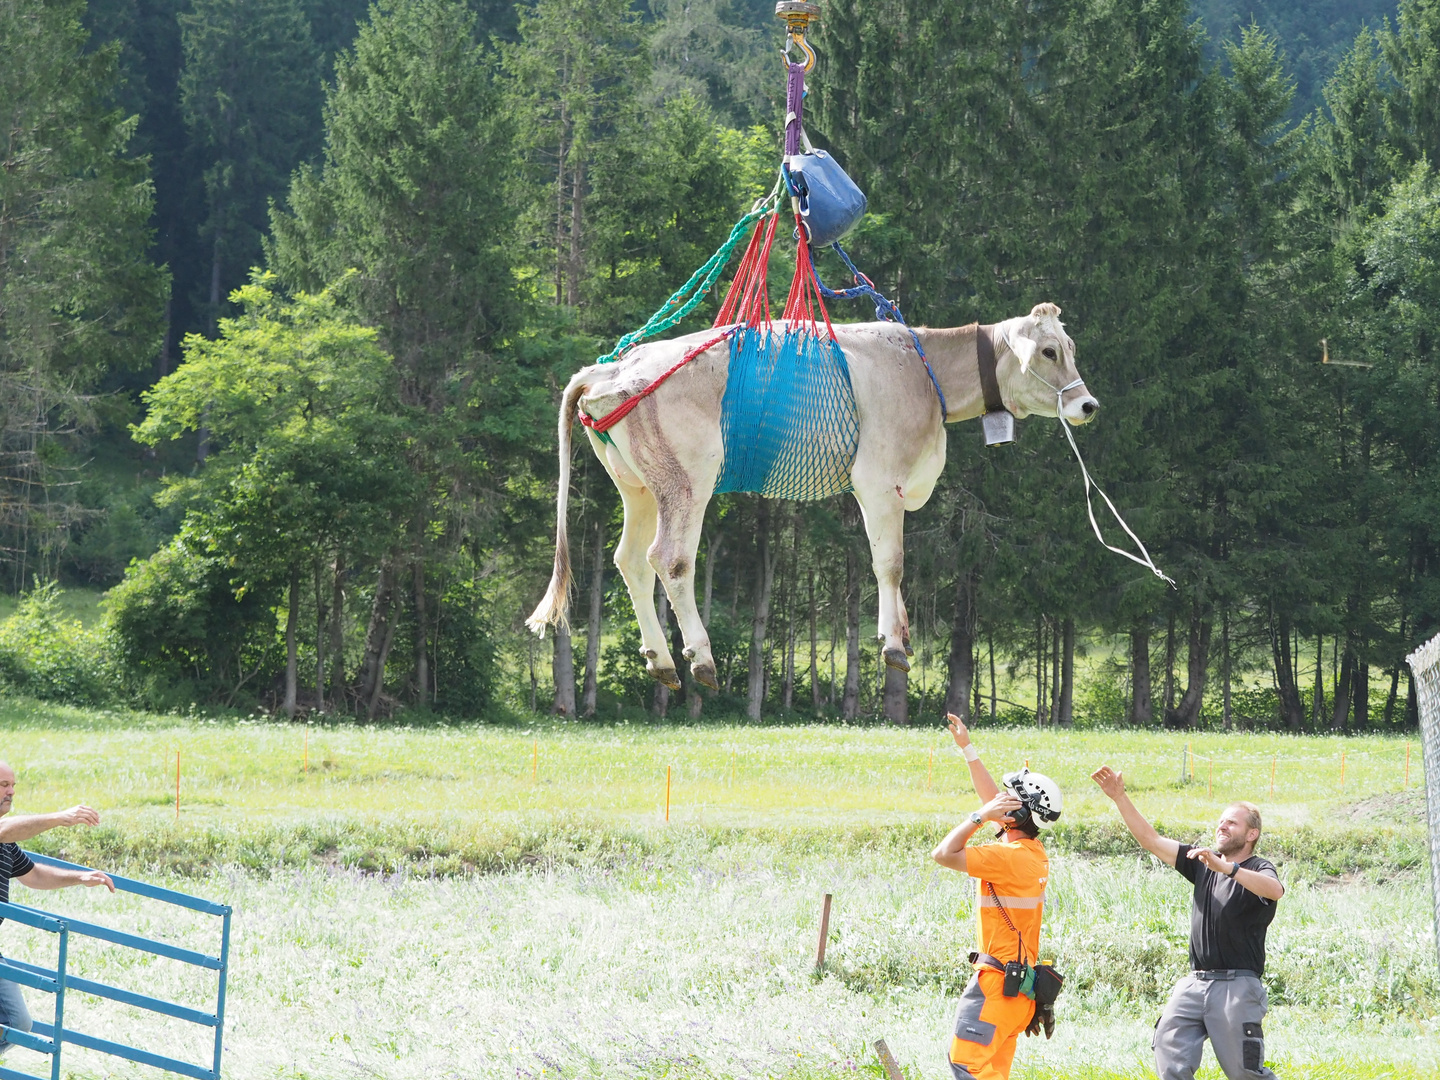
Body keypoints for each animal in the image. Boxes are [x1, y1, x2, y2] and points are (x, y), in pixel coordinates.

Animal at [529, 305, 1100, 694]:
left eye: (1070, 347)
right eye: (1049, 351)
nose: (1088, 405)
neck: (925, 367)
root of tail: (611, 367)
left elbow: (888, 562)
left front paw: (898, 630)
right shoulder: (878, 480)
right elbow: (891, 562)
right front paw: (894, 647)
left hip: (638, 486)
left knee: (629, 560)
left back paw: (662, 661)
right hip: (687, 479)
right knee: (669, 559)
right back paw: (700, 658)